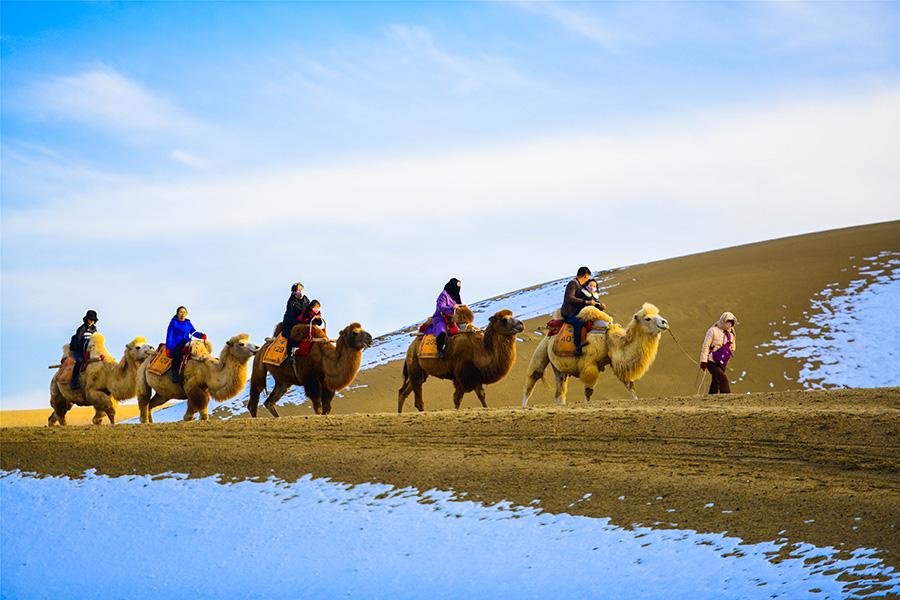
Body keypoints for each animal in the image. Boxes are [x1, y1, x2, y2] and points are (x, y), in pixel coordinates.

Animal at [520, 302, 668, 406]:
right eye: (647, 318)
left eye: (658, 314)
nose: (664, 322)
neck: (609, 339)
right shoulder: (590, 366)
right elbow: (588, 393)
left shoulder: (614, 362)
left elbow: (630, 386)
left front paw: (636, 400)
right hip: (542, 350)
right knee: (533, 377)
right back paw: (524, 407)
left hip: (559, 368)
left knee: (559, 393)